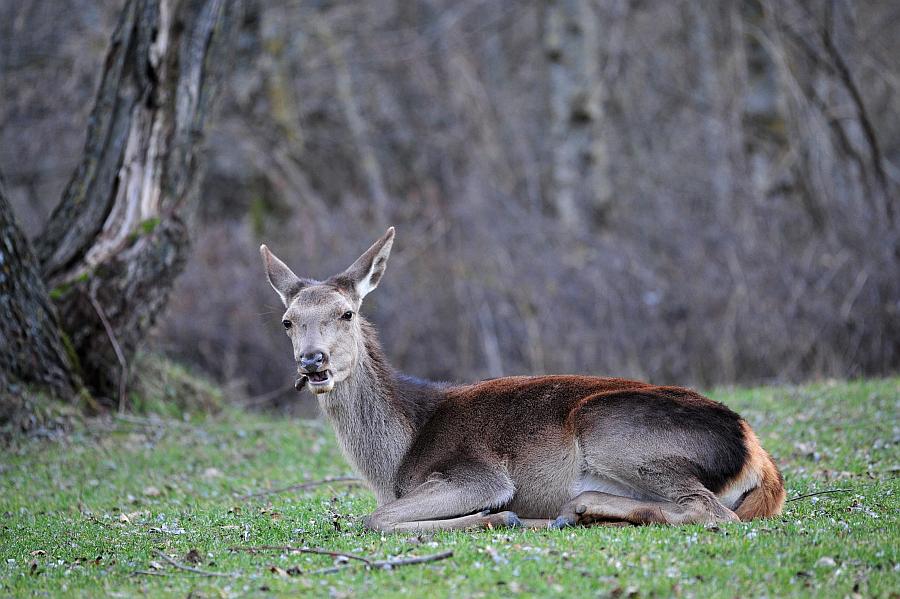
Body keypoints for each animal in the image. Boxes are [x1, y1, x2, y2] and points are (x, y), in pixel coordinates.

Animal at [256, 227, 784, 532]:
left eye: (347, 313)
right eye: (287, 321)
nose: (313, 361)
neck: (394, 463)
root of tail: (758, 457)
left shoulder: (476, 473)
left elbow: (373, 518)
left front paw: (500, 516)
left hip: (611, 427)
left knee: (713, 512)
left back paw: (575, 507)